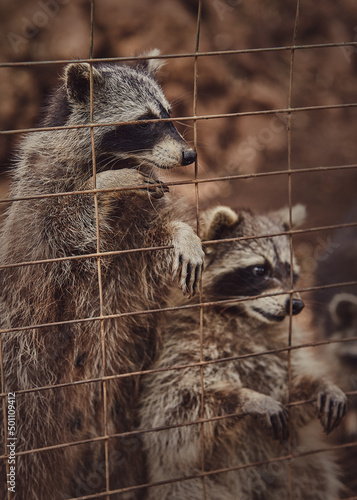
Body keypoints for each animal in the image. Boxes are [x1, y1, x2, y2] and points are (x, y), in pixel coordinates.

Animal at [0, 51, 203, 500]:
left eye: (168, 115)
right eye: (144, 121)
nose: (189, 155)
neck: (113, 157)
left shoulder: (139, 212)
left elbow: (147, 244)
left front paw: (180, 233)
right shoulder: (43, 195)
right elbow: (62, 226)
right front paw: (108, 181)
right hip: (24, 374)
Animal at [137, 204, 344, 500]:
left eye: (290, 271)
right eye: (259, 270)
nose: (296, 305)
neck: (244, 319)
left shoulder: (277, 348)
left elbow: (292, 398)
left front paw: (317, 384)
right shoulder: (180, 345)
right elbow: (173, 416)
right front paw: (244, 397)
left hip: (296, 469)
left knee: (315, 480)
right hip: (190, 485)